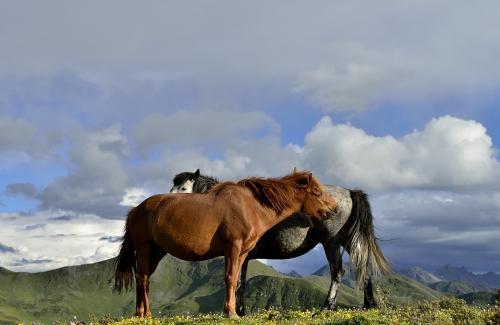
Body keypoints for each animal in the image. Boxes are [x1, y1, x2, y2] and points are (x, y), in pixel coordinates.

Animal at [114, 171, 336, 318]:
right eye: (316, 192)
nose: (333, 210)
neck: (250, 207)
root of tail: (136, 209)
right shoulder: (233, 247)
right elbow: (229, 278)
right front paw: (231, 313)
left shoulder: (243, 253)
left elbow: (236, 280)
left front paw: (231, 311)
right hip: (144, 248)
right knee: (142, 278)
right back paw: (144, 314)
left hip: (157, 252)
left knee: (143, 279)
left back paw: (141, 313)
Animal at [170, 168, 388, 312]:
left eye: (183, 188)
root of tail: (350, 192)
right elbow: (240, 281)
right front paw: (240, 310)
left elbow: (238, 281)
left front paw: (237, 311)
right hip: (348, 240)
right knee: (363, 267)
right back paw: (369, 305)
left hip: (331, 242)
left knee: (338, 272)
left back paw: (327, 307)